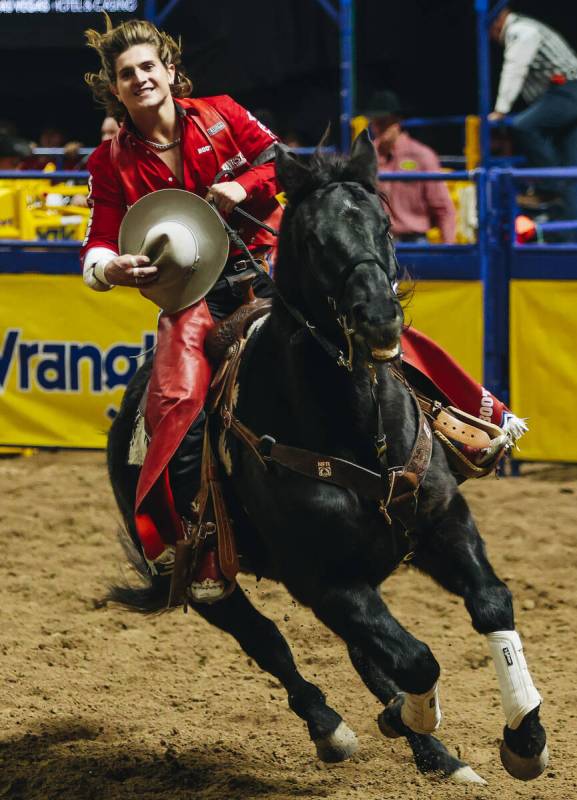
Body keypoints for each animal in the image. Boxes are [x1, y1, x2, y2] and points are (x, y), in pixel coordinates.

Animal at [107, 134, 544, 784]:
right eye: (313, 239)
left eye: (385, 226)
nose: (380, 319)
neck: (356, 428)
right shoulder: (324, 580)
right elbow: (417, 659)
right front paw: (403, 716)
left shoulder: (443, 525)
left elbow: (491, 604)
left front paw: (525, 737)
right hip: (201, 573)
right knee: (268, 642)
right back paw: (333, 728)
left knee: (364, 652)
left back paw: (437, 755)